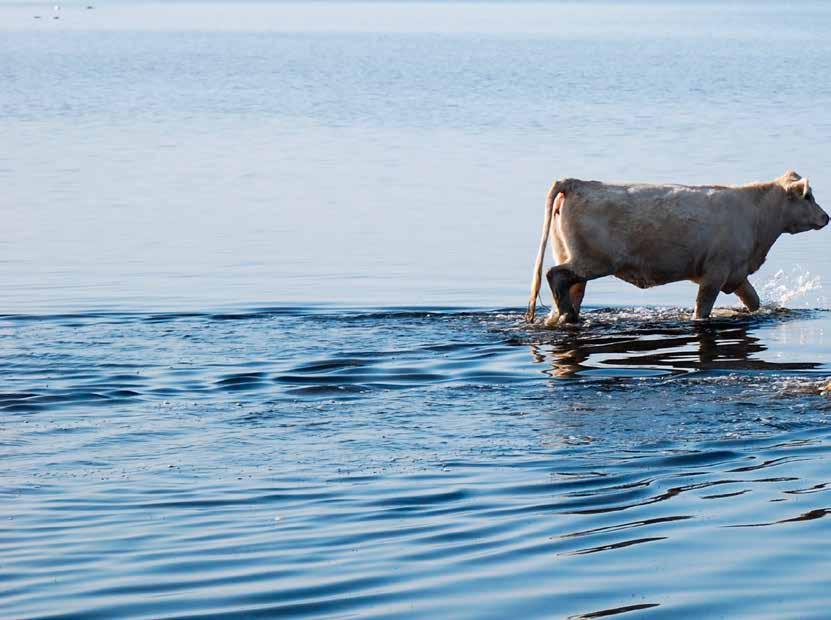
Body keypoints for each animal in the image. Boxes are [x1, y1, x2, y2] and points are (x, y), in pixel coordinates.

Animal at [528, 171, 828, 324]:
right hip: (593, 262)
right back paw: (567, 315)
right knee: (555, 275)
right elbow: (702, 307)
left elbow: (753, 301)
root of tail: (577, 183)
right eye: (808, 196)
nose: (827, 217)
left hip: (572, 257)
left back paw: (565, 316)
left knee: (569, 289)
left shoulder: (736, 273)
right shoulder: (716, 272)